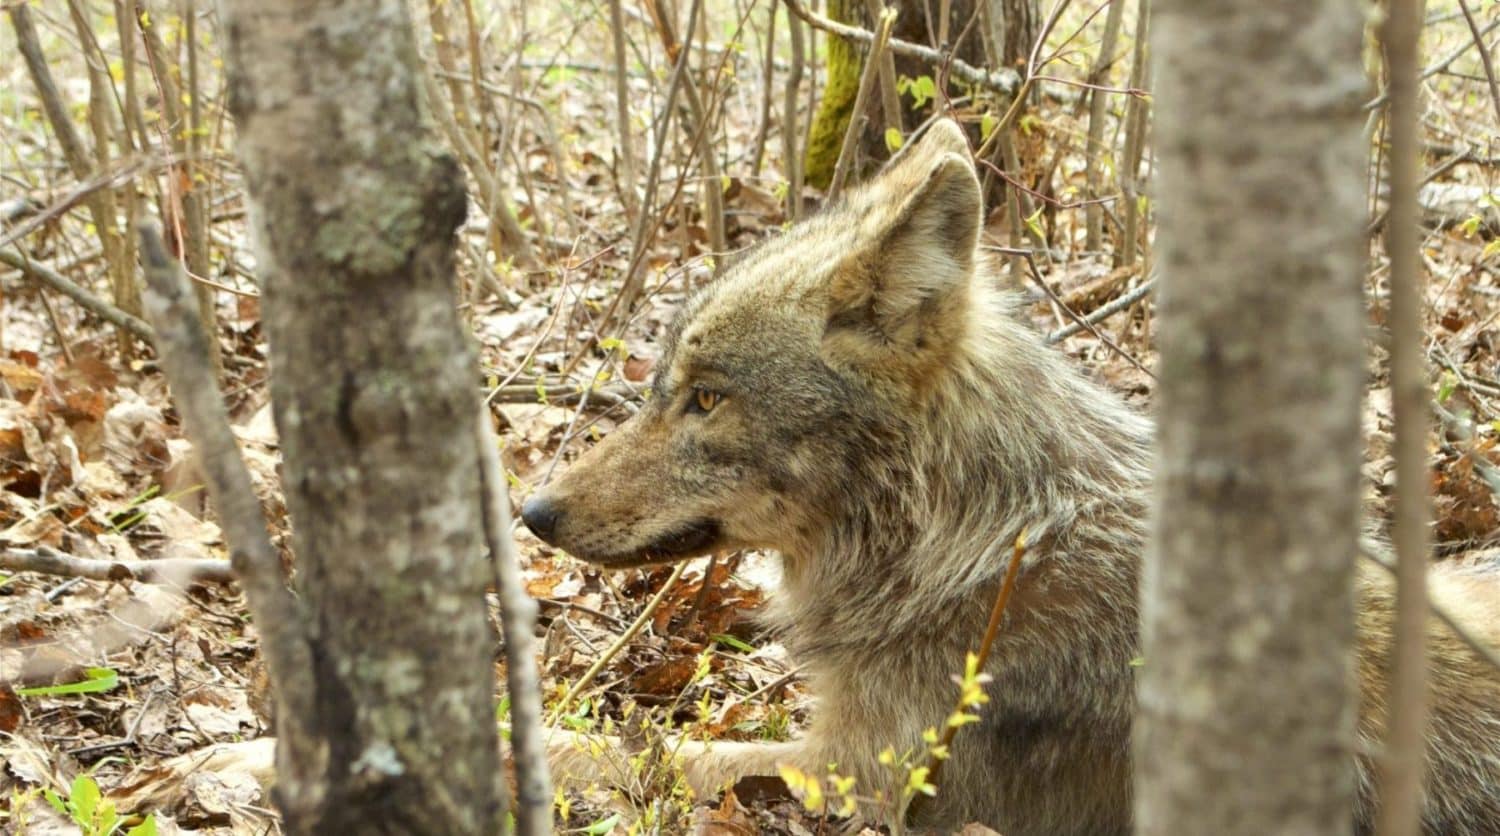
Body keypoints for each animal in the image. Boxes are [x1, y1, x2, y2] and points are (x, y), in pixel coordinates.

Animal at [525, 120, 1500, 828]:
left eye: (706, 399)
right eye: (667, 388)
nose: (533, 509)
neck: (977, 540)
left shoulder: (856, 778)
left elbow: (636, 755)